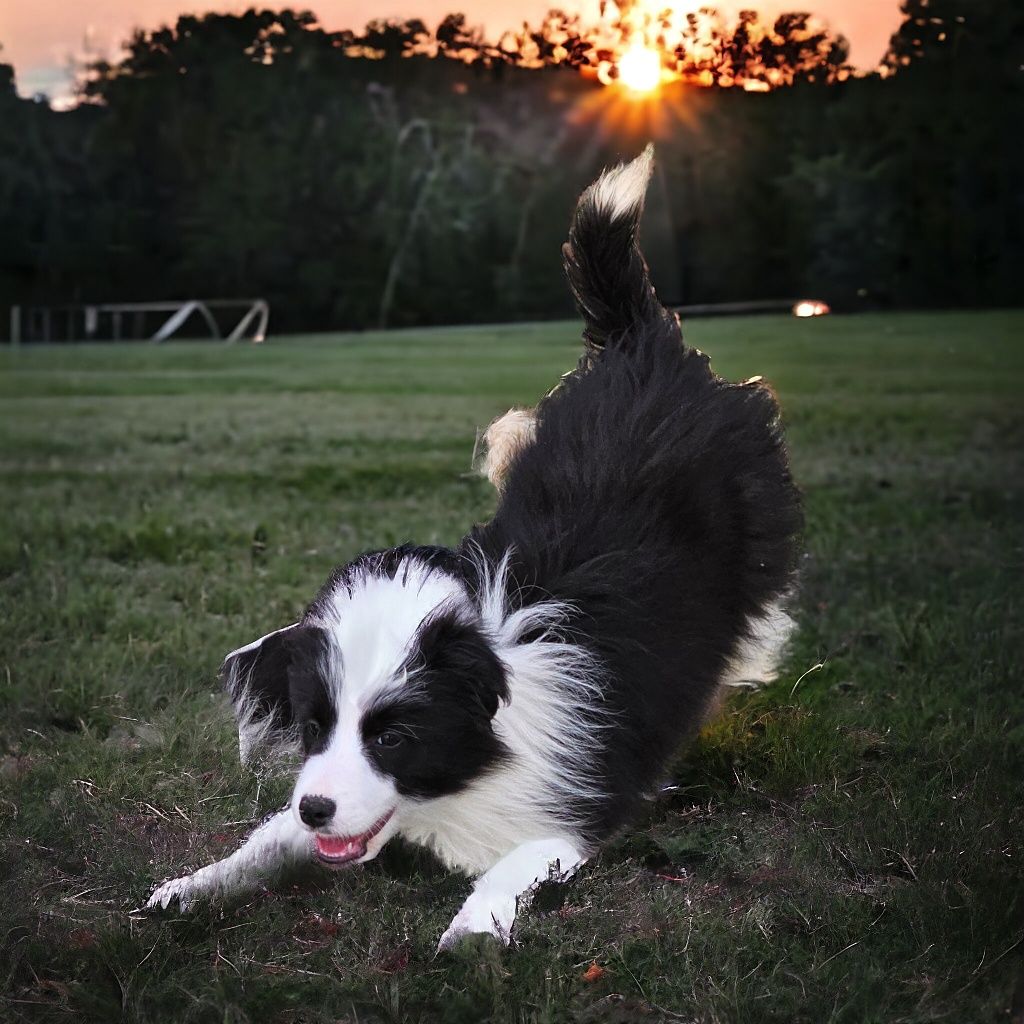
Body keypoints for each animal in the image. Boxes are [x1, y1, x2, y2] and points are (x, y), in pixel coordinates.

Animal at [146, 144, 798, 942]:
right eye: (314, 725)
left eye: (394, 737)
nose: (316, 807)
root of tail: (640, 344)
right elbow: (270, 841)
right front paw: (190, 887)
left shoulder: (572, 803)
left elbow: (520, 858)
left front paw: (473, 933)